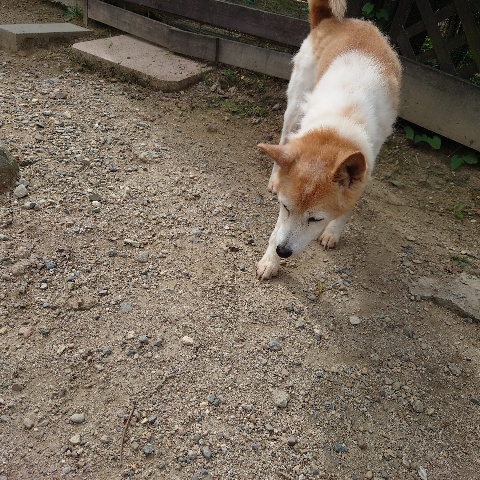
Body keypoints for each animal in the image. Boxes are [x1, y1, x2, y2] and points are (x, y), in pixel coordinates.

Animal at [256, 0, 401, 280]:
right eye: (285, 207)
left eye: (315, 219)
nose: (282, 251)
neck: (338, 125)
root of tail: (333, 21)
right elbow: (276, 230)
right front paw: (269, 260)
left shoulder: (366, 167)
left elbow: (347, 209)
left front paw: (333, 232)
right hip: (294, 104)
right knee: (283, 140)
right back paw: (274, 176)